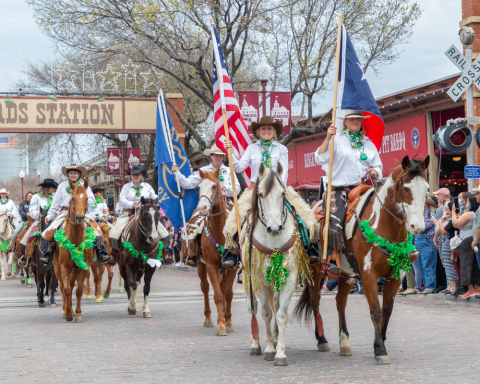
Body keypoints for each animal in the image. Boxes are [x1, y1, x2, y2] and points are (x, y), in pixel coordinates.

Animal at [52, 179, 95, 320]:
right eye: (72, 198)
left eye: (87, 198)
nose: (80, 217)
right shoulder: (64, 267)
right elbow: (66, 290)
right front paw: (68, 313)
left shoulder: (83, 267)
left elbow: (78, 290)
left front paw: (78, 314)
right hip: (57, 268)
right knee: (62, 286)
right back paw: (65, 309)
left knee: (71, 286)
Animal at [195, 168, 238, 336]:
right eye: (199, 187)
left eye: (214, 186)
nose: (202, 208)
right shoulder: (211, 266)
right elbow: (218, 295)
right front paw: (220, 326)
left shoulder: (232, 267)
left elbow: (228, 293)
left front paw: (228, 322)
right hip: (201, 266)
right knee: (205, 288)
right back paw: (208, 319)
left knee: (223, 287)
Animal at [242, 162, 310, 366]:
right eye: (260, 194)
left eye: (282, 194)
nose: (274, 228)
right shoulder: (259, 280)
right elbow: (265, 313)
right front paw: (269, 349)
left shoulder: (289, 278)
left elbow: (280, 314)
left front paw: (280, 353)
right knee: (252, 309)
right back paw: (256, 344)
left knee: (275, 304)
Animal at [294, 154, 430, 364]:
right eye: (406, 188)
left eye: (426, 188)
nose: (418, 227)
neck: (382, 224)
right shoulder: (368, 273)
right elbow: (376, 310)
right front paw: (380, 350)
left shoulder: (396, 275)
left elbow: (387, 310)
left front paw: (379, 343)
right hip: (315, 270)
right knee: (315, 299)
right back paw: (322, 339)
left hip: (346, 273)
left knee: (340, 302)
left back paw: (344, 343)